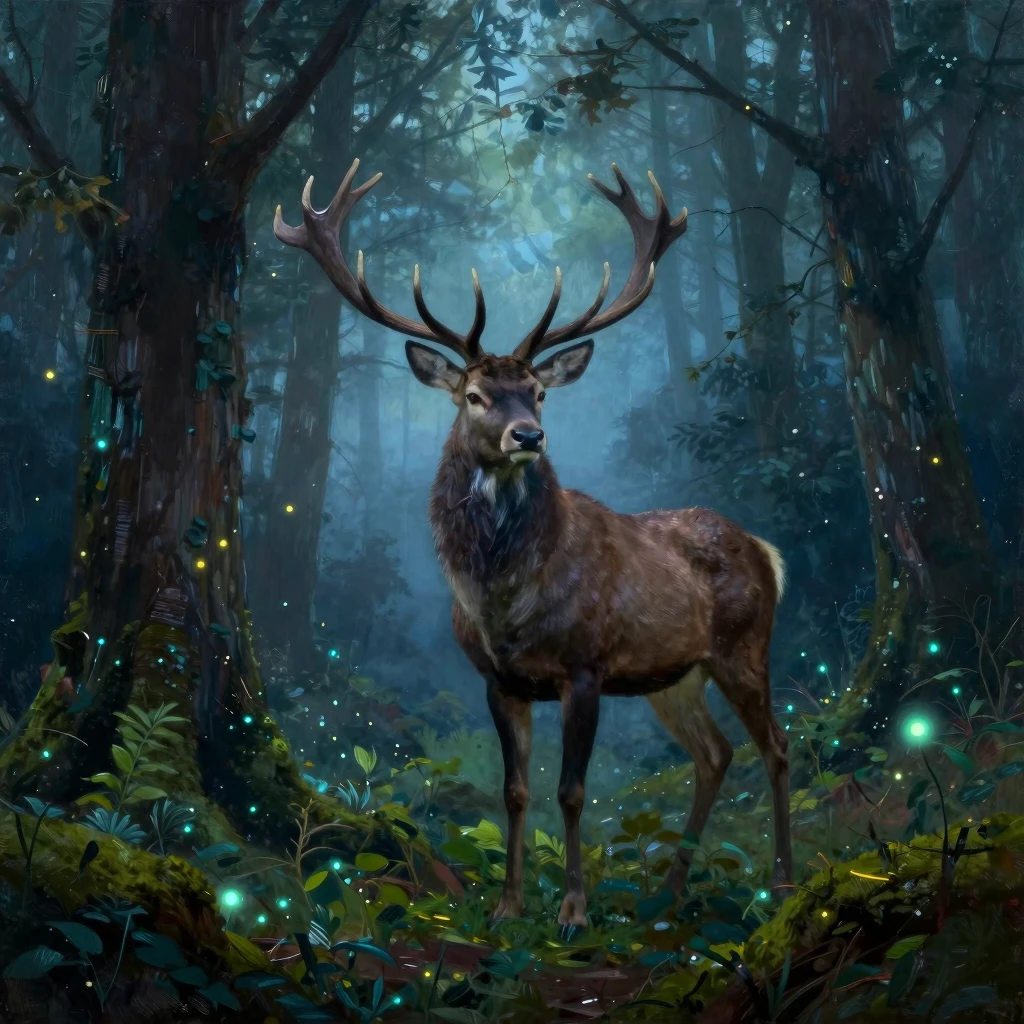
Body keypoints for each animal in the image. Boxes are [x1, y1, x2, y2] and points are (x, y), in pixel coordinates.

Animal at [274, 160, 791, 929]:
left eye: (538, 393)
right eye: (474, 396)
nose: (530, 437)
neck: (506, 600)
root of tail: (766, 548)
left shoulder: (586, 666)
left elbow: (572, 791)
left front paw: (574, 909)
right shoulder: (499, 680)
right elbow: (515, 790)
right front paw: (508, 905)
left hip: (743, 647)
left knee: (776, 746)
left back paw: (783, 883)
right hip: (676, 676)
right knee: (717, 753)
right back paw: (670, 891)